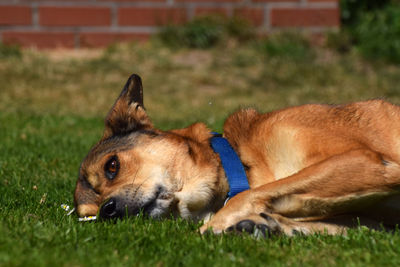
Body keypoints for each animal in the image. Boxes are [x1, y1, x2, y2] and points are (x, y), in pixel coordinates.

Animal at [73, 74, 400, 238]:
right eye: (90, 216)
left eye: (112, 166)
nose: (108, 211)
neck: (244, 165)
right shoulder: (375, 222)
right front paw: (268, 225)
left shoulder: (366, 160)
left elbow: (245, 198)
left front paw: (216, 226)